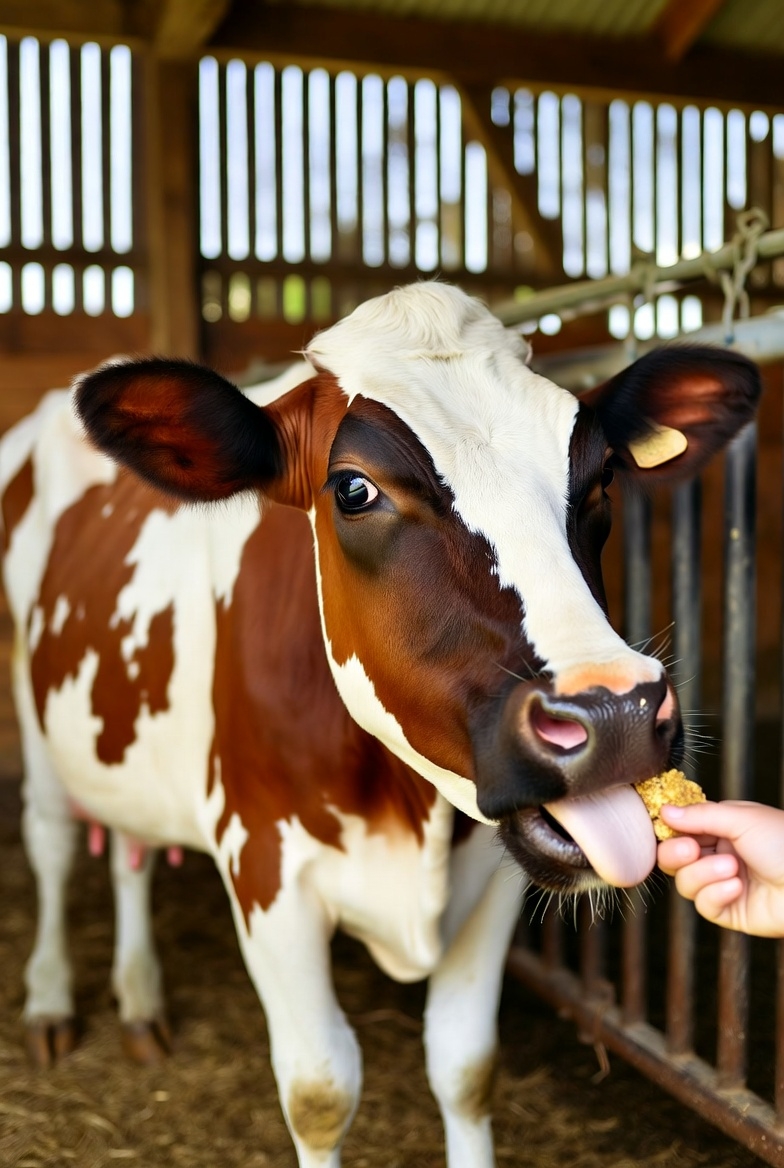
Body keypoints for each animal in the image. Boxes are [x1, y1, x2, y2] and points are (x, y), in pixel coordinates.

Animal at [0, 282, 759, 1167]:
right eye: (354, 490)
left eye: (602, 477)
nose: (614, 713)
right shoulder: (265, 868)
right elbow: (320, 1092)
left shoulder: (492, 875)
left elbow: (465, 1068)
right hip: (32, 700)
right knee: (52, 839)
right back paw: (51, 1002)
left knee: (130, 846)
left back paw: (141, 1002)